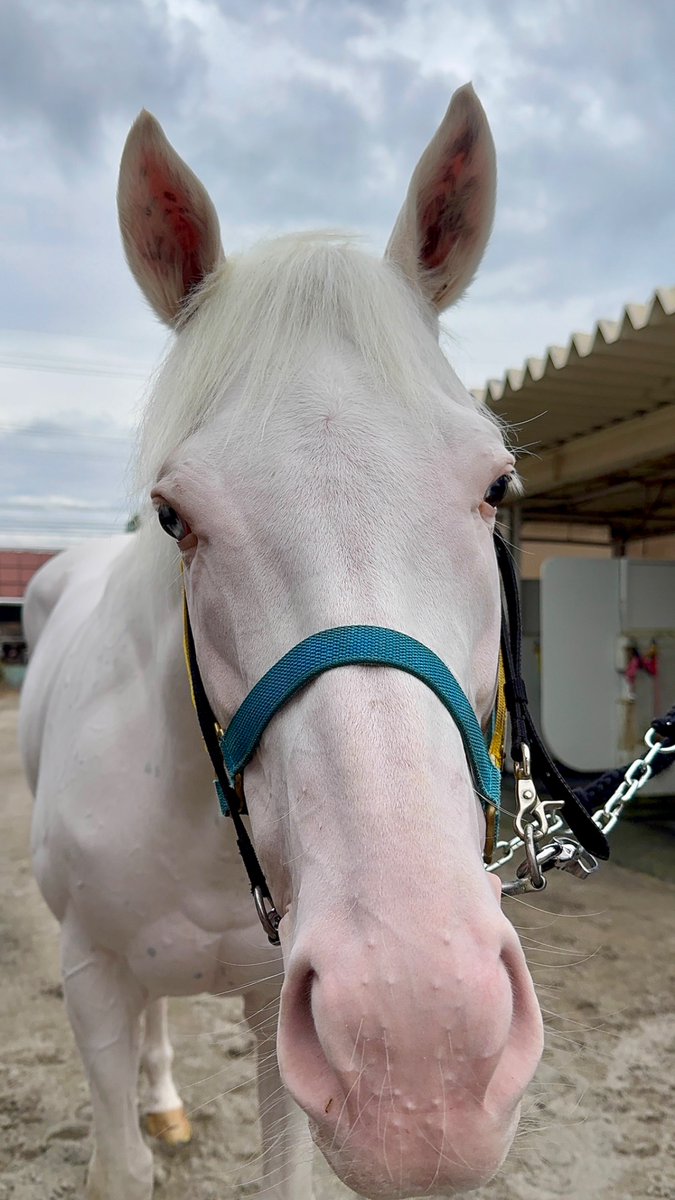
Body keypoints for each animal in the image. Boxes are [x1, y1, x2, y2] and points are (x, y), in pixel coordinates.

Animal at [19, 83, 544, 1199]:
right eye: (174, 514)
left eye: (496, 485)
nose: (421, 1037)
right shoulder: (89, 980)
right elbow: (117, 1164)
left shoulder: (276, 1002)